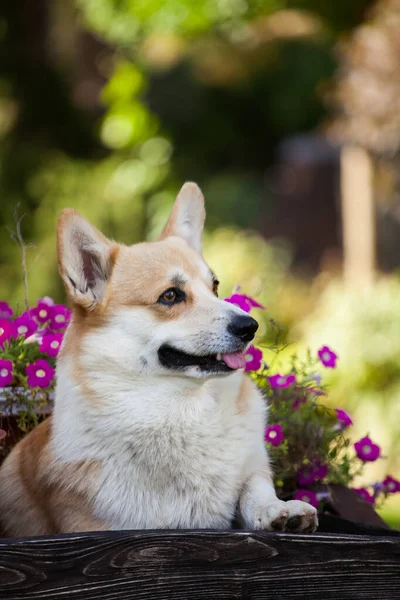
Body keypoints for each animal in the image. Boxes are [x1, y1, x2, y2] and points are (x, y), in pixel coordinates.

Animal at [0, 183, 318, 536]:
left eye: (215, 286)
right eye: (170, 296)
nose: (249, 327)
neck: (181, 409)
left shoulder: (251, 470)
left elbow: (254, 488)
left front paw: (279, 511)